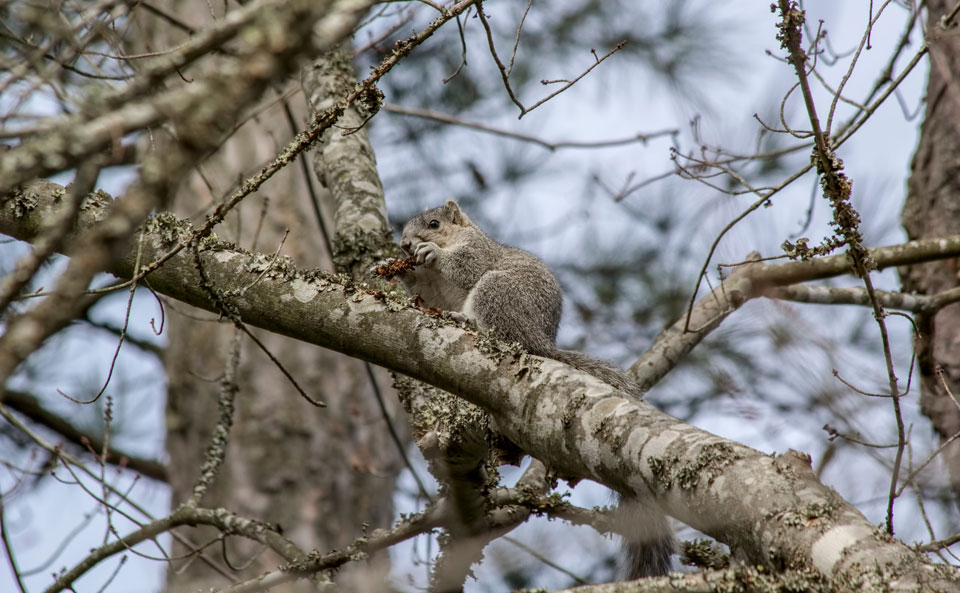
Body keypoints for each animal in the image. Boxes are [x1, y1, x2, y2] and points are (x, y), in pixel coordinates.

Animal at [398, 200, 676, 580]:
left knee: (499, 327)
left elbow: (466, 268)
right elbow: (430, 295)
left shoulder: (477, 253)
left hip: (498, 291)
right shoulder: (437, 292)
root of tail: (539, 341)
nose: (405, 244)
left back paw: (469, 322)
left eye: (434, 224)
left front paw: (433, 253)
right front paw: (402, 272)